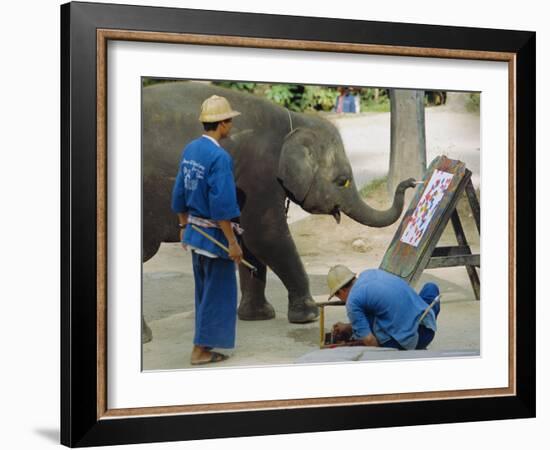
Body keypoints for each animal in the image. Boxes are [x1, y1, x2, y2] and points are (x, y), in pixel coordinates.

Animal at [142, 81, 414, 326]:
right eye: (342, 181)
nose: (410, 182)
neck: (295, 122)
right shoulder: (259, 173)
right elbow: (266, 236)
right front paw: (308, 315)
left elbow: (247, 242)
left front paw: (257, 316)